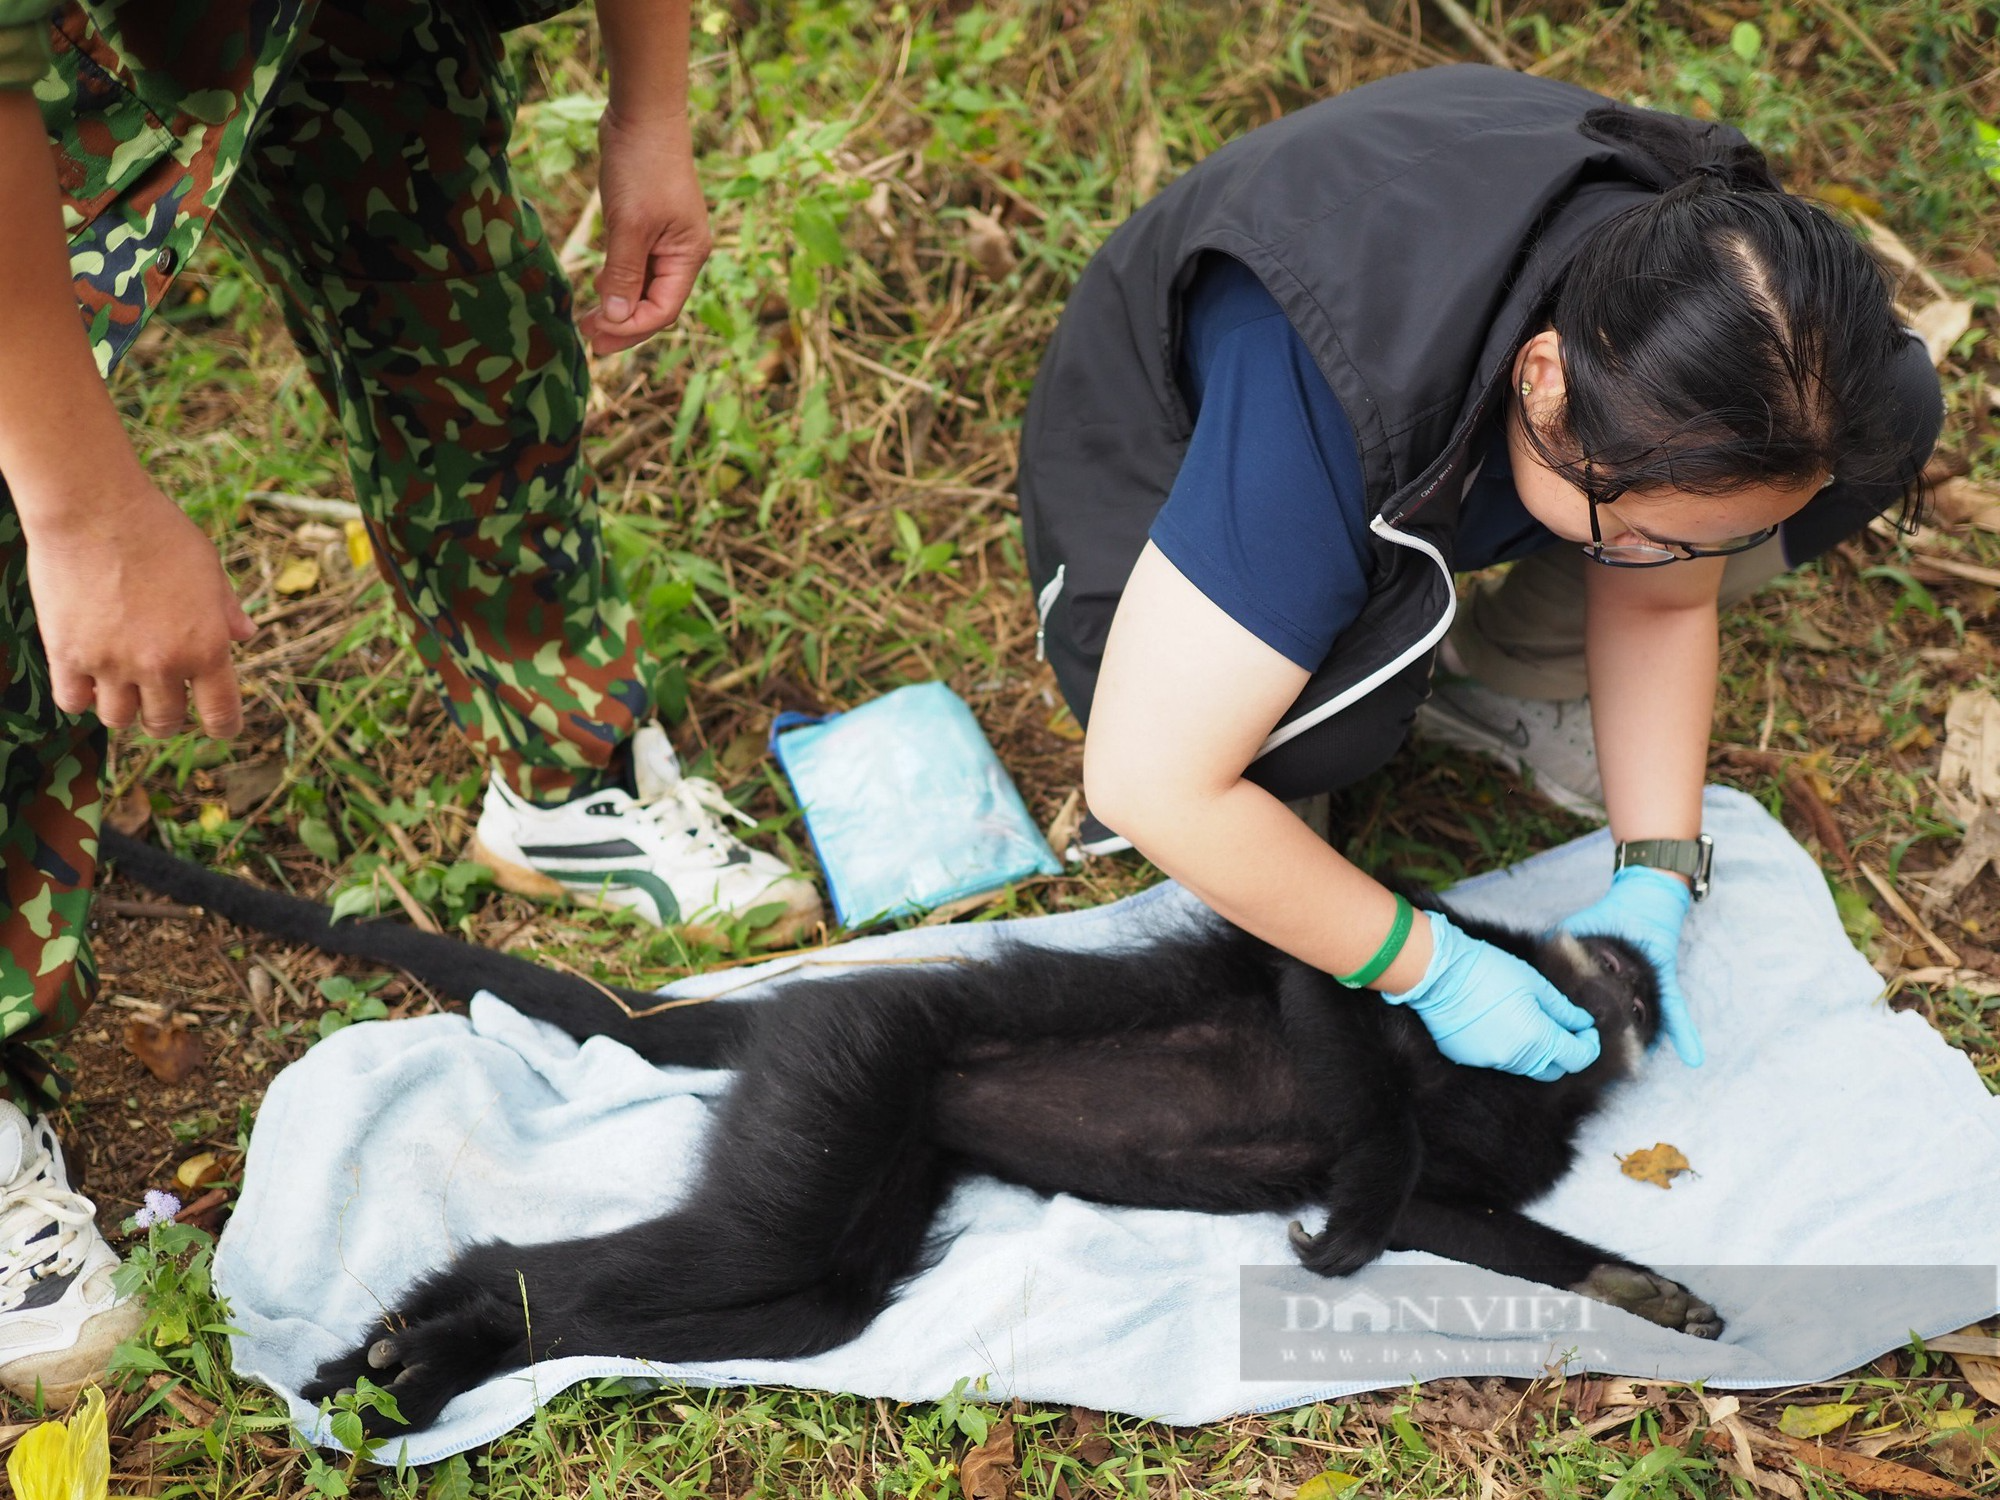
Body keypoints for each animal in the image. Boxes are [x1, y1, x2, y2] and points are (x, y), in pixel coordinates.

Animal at [101, 828, 1720, 1440]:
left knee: (779, 1296)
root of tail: (807, 1005)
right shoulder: (1434, 953)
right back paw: (424, 1331)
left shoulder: (1495, 1161)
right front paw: (1350, 1225)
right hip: (851, 1071)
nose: (1641, 982)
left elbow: (1469, 1217)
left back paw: (428, 1362)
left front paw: (1645, 1291)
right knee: (725, 1256)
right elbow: (1318, 989)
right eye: (1622, 976)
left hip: (858, 1151)